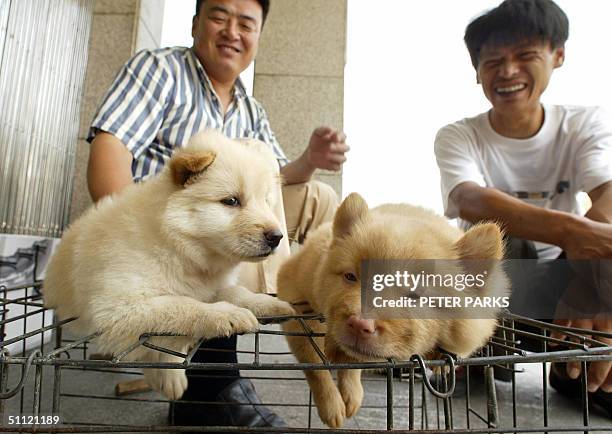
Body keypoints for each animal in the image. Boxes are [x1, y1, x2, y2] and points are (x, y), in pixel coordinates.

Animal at [44, 130, 296, 400]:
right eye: (231, 201)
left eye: (266, 202)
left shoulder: (212, 285)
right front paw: (227, 314)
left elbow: (237, 292)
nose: (277, 237)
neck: (182, 250)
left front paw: (269, 304)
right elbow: (182, 305)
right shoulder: (117, 308)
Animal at [278, 193, 506, 428]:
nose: (359, 325)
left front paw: (350, 391)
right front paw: (331, 404)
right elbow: (314, 364)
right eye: (350, 277)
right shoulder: (294, 300)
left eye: (414, 295)